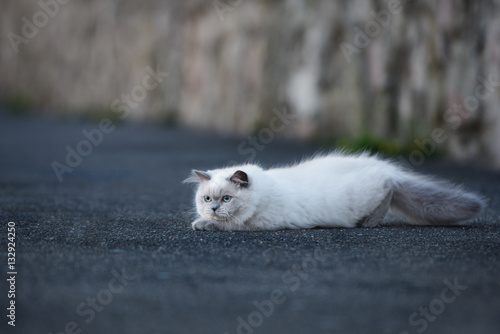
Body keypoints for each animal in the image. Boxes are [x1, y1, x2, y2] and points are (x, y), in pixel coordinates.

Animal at [184, 153, 484, 231]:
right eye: (207, 198)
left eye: (226, 199)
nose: (213, 208)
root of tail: (387, 168)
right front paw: (203, 219)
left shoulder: (257, 224)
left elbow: (227, 225)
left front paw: (201, 224)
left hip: (376, 189)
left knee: (387, 194)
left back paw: (368, 223)